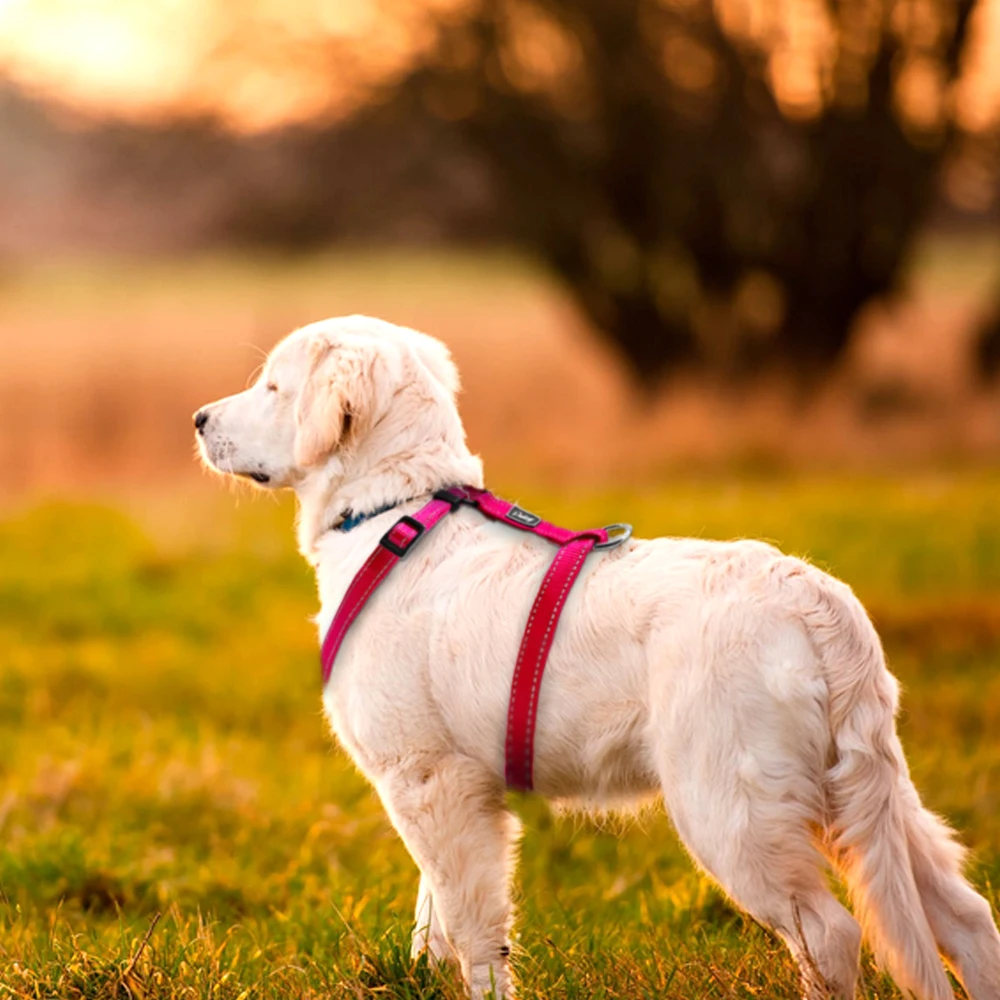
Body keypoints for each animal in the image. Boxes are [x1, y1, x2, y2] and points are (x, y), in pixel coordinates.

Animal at [197, 314, 1000, 1000]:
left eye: (272, 386)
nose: (200, 420)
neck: (396, 511)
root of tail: (814, 597)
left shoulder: (430, 779)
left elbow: (473, 927)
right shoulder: (445, 787)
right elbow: (435, 914)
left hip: (732, 804)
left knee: (830, 933)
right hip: (872, 789)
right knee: (966, 916)